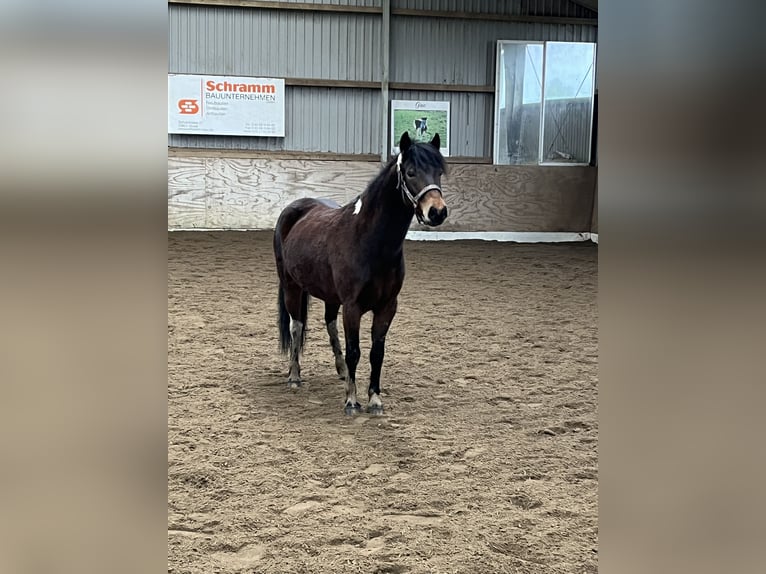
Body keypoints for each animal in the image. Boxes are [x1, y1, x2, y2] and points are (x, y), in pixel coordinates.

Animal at [272, 133, 448, 416]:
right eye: (411, 172)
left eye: (439, 172)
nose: (437, 211)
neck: (369, 241)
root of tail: (294, 209)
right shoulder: (352, 307)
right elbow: (355, 351)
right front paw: (351, 402)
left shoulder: (387, 307)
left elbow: (377, 353)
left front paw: (374, 399)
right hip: (291, 287)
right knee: (296, 326)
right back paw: (295, 375)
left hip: (330, 296)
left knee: (329, 323)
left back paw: (341, 371)